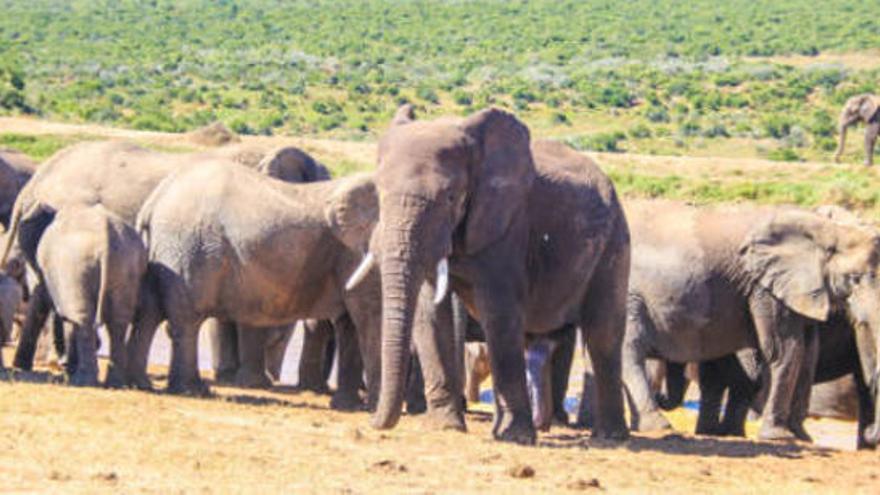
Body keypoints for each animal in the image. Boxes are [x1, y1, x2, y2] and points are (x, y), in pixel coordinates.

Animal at [348, 105, 628, 446]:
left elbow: (499, 311)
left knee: (602, 334)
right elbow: (430, 313)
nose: (372, 422)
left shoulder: (508, 226)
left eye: (451, 197)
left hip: (615, 242)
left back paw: (609, 437)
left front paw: (514, 437)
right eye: (377, 192)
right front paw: (446, 426)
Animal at [624, 200, 880, 444]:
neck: (831, 230)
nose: (871, 433)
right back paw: (659, 426)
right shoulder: (764, 288)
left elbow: (807, 354)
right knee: (631, 352)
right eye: (855, 279)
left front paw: (801, 437)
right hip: (630, 296)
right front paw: (779, 436)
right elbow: (783, 350)